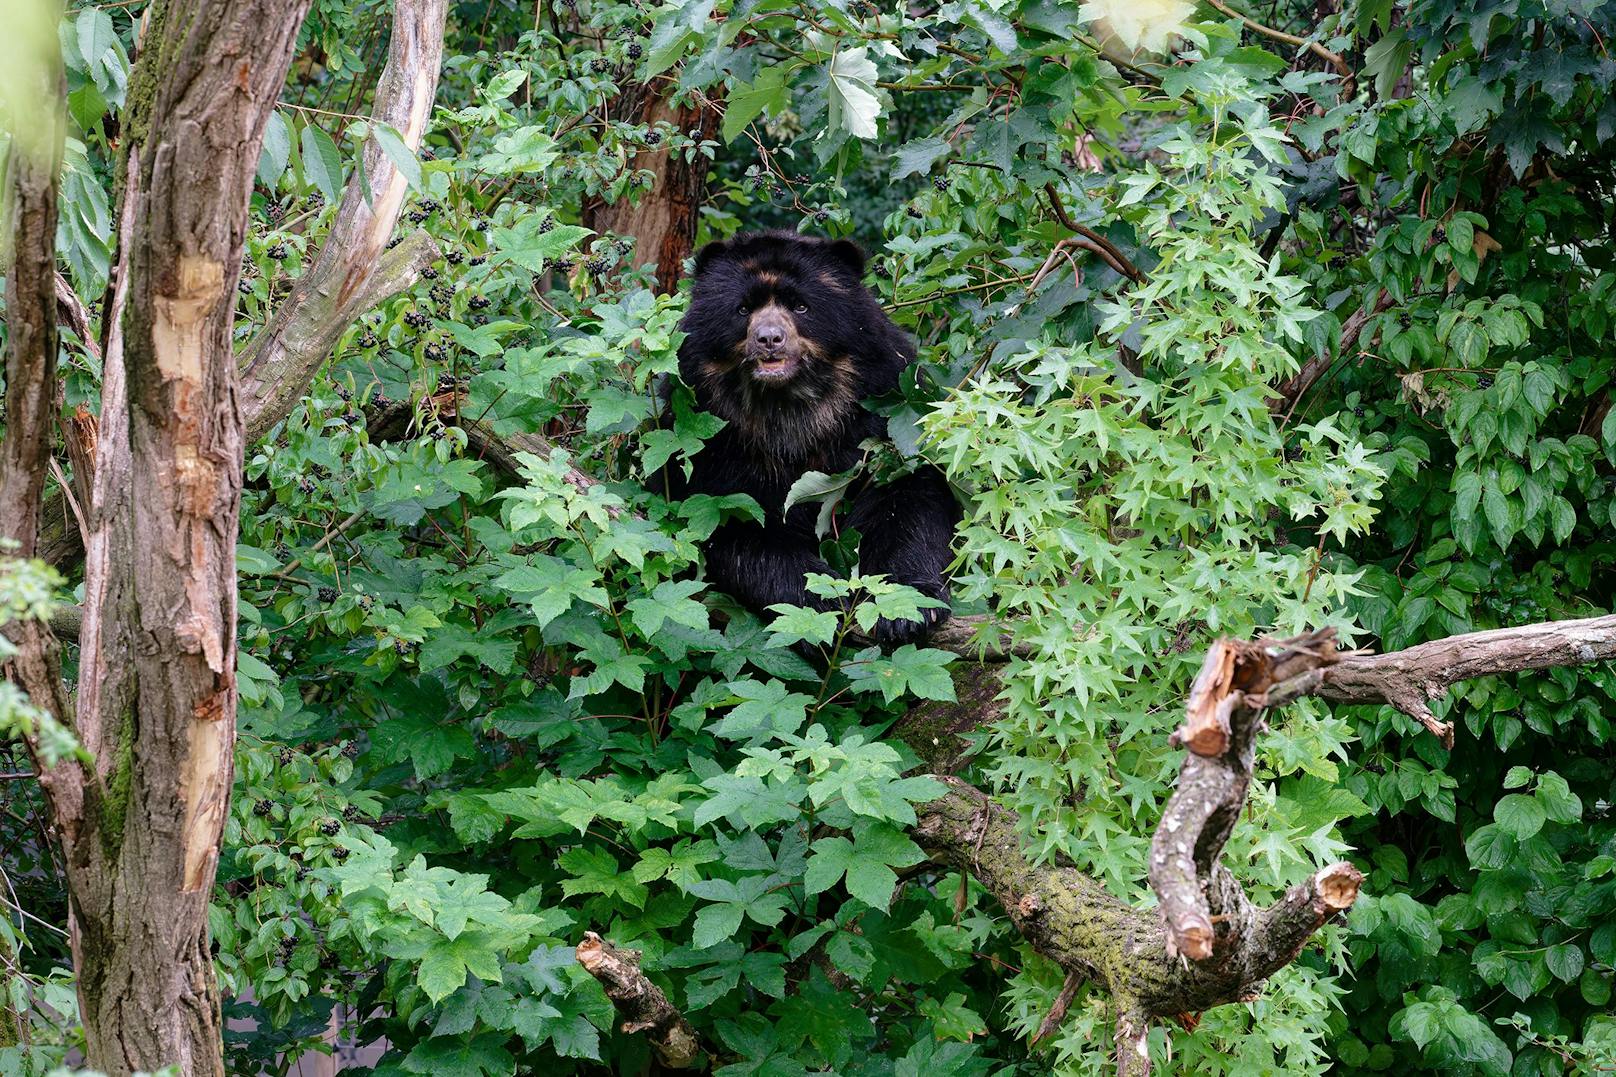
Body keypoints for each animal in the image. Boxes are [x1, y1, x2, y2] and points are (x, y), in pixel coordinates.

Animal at [659, 229, 956, 640]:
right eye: (743, 309)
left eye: (800, 306)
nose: (769, 340)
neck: (788, 408)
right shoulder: (712, 444)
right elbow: (739, 526)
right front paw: (823, 600)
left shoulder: (881, 407)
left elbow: (909, 499)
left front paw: (908, 611)